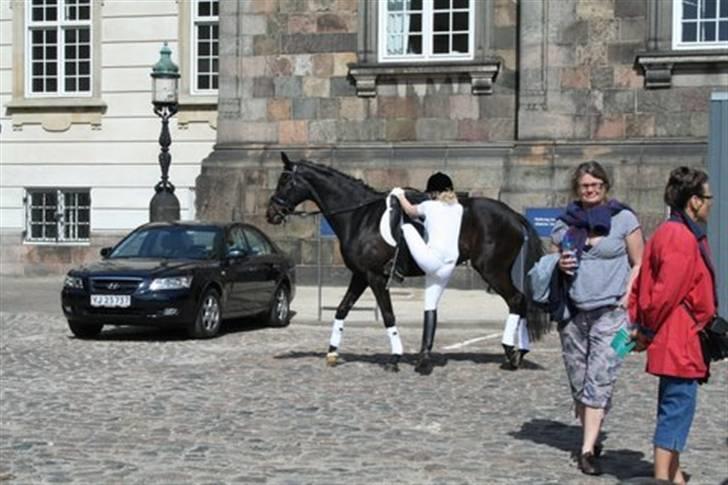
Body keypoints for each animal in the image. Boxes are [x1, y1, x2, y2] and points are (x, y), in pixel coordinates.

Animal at [266, 153, 544, 372]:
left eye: (284, 181)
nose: (271, 214)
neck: (359, 216)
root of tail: (514, 215)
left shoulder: (376, 277)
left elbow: (388, 315)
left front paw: (394, 358)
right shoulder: (360, 275)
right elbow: (342, 309)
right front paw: (332, 352)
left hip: (492, 270)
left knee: (516, 300)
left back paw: (512, 353)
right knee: (519, 302)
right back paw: (518, 351)